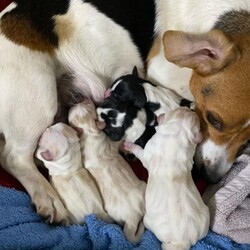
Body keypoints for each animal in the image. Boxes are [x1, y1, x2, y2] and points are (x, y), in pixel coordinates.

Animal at [68, 100, 146, 244]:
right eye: (89, 107)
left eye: (82, 105)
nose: (85, 100)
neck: (88, 132)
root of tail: (131, 220)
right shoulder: (111, 142)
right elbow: (119, 141)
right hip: (143, 186)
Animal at [124, 107, 209, 250]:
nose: (191, 108)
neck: (178, 133)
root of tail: (183, 241)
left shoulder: (146, 152)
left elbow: (139, 151)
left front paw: (129, 145)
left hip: (148, 220)